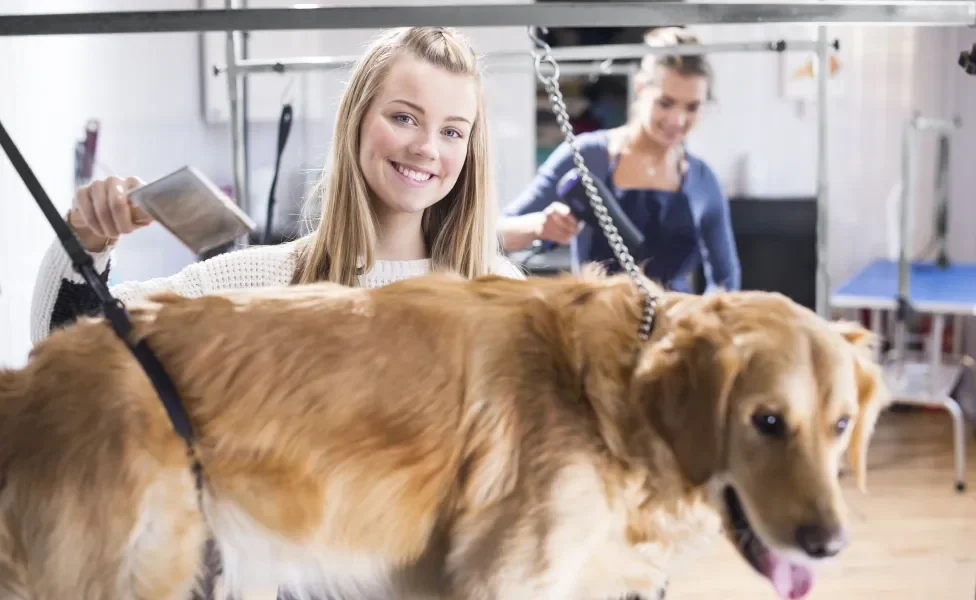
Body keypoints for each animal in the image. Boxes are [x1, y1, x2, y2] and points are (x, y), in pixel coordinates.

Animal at [0, 270, 884, 600]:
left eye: (841, 425)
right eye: (766, 422)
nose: (830, 543)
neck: (612, 402)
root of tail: (32, 374)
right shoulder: (505, 580)